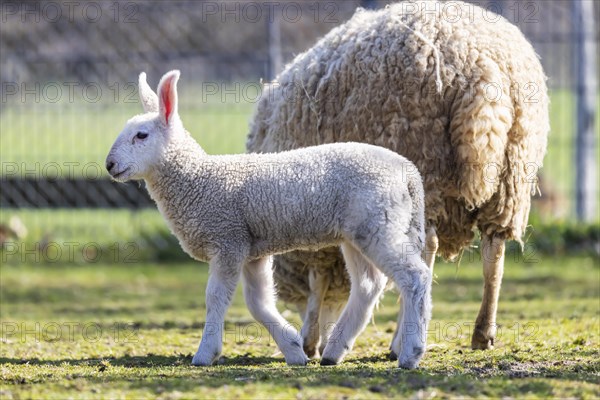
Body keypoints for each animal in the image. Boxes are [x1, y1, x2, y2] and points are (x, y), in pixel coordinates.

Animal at [104, 69, 432, 368]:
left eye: (141, 135)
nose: (109, 165)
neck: (199, 179)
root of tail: (408, 170)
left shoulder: (228, 239)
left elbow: (215, 298)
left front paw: (205, 354)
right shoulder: (252, 250)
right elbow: (258, 303)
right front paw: (293, 349)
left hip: (379, 223)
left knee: (415, 277)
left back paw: (411, 353)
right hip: (360, 231)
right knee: (368, 285)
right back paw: (334, 351)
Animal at [247, 0, 548, 356]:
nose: (313, 345)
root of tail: (481, 62)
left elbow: (318, 279)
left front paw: (311, 338)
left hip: (423, 165)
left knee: (424, 251)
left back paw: (401, 340)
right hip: (511, 178)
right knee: (494, 250)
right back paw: (482, 333)